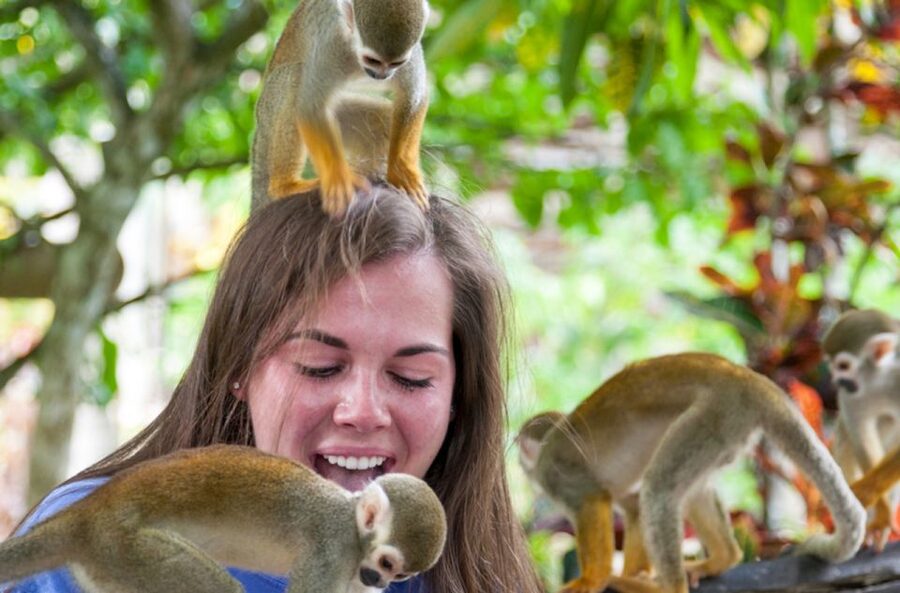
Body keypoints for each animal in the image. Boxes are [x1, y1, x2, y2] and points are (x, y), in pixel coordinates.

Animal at [0, 445, 447, 593]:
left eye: (400, 575)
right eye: (386, 562)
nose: (379, 581)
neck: (355, 534)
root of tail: (88, 512)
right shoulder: (331, 549)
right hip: (127, 548)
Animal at [251, 0, 431, 216]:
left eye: (396, 63)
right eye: (373, 60)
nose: (382, 75)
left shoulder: (411, 53)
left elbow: (414, 95)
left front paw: (401, 171)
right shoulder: (330, 43)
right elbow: (311, 107)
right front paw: (338, 180)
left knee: (381, 122)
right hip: (268, 112)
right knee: (294, 75)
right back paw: (285, 186)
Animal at [517, 353, 866, 593]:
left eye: (520, 446)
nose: (519, 460)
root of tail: (751, 379)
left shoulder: (556, 473)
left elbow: (593, 498)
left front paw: (594, 578)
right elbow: (632, 506)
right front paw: (634, 572)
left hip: (717, 412)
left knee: (659, 488)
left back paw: (665, 587)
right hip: (729, 431)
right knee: (686, 488)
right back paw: (723, 557)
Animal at [822, 309, 900, 544]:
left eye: (843, 366)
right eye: (832, 366)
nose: (836, 381)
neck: (880, 379)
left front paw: (867, 492)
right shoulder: (851, 394)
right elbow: (860, 433)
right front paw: (881, 512)